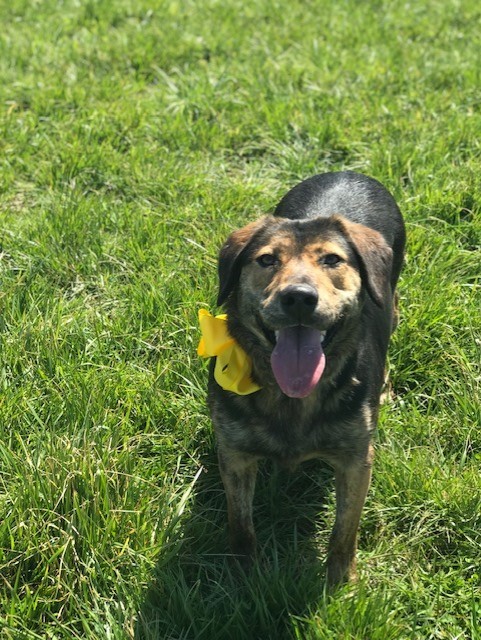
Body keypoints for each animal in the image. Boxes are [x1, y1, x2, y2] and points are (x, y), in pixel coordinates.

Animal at [202, 171, 404, 592]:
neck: (292, 397)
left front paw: (341, 582)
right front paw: (244, 577)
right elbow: (240, 523)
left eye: (332, 260)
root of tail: (350, 172)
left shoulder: (357, 460)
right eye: (266, 260)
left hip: (392, 298)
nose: (298, 297)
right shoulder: (234, 453)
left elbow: (345, 530)